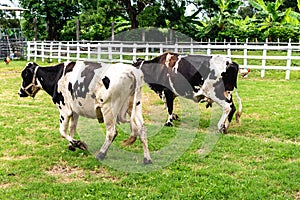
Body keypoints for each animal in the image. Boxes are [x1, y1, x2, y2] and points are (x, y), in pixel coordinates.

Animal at [18, 61, 152, 164]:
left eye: (25, 75)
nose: (20, 92)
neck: (57, 76)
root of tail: (131, 70)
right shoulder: (74, 111)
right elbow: (72, 128)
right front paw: (72, 145)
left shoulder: (64, 109)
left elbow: (62, 131)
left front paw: (78, 144)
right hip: (134, 106)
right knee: (141, 128)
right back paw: (147, 159)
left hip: (108, 109)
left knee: (112, 132)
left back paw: (101, 154)